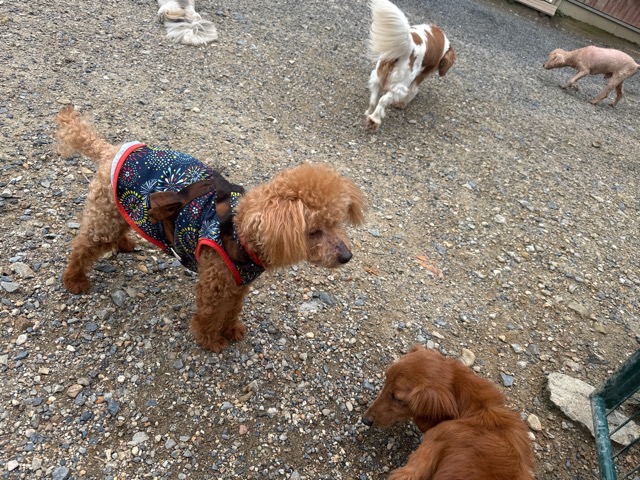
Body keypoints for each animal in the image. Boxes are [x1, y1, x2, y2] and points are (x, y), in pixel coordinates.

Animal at [56, 106, 365, 353]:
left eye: (337, 223)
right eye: (314, 232)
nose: (347, 257)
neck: (240, 231)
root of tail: (109, 151)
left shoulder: (238, 285)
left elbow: (231, 312)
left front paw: (232, 330)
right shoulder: (214, 282)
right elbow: (208, 315)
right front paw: (210, 340)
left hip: (122, 212)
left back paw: (124, 243)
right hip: (104, 215)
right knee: (82, 246)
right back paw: (74, 280)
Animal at [365, 0, 456, 132]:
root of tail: (408, 47)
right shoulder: (421, 75)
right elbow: (413, 90)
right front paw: (401, 104)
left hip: (377, 77)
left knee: (373, 100)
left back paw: (369, 114)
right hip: (399, 86)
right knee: (382, 101)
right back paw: (374, 120)